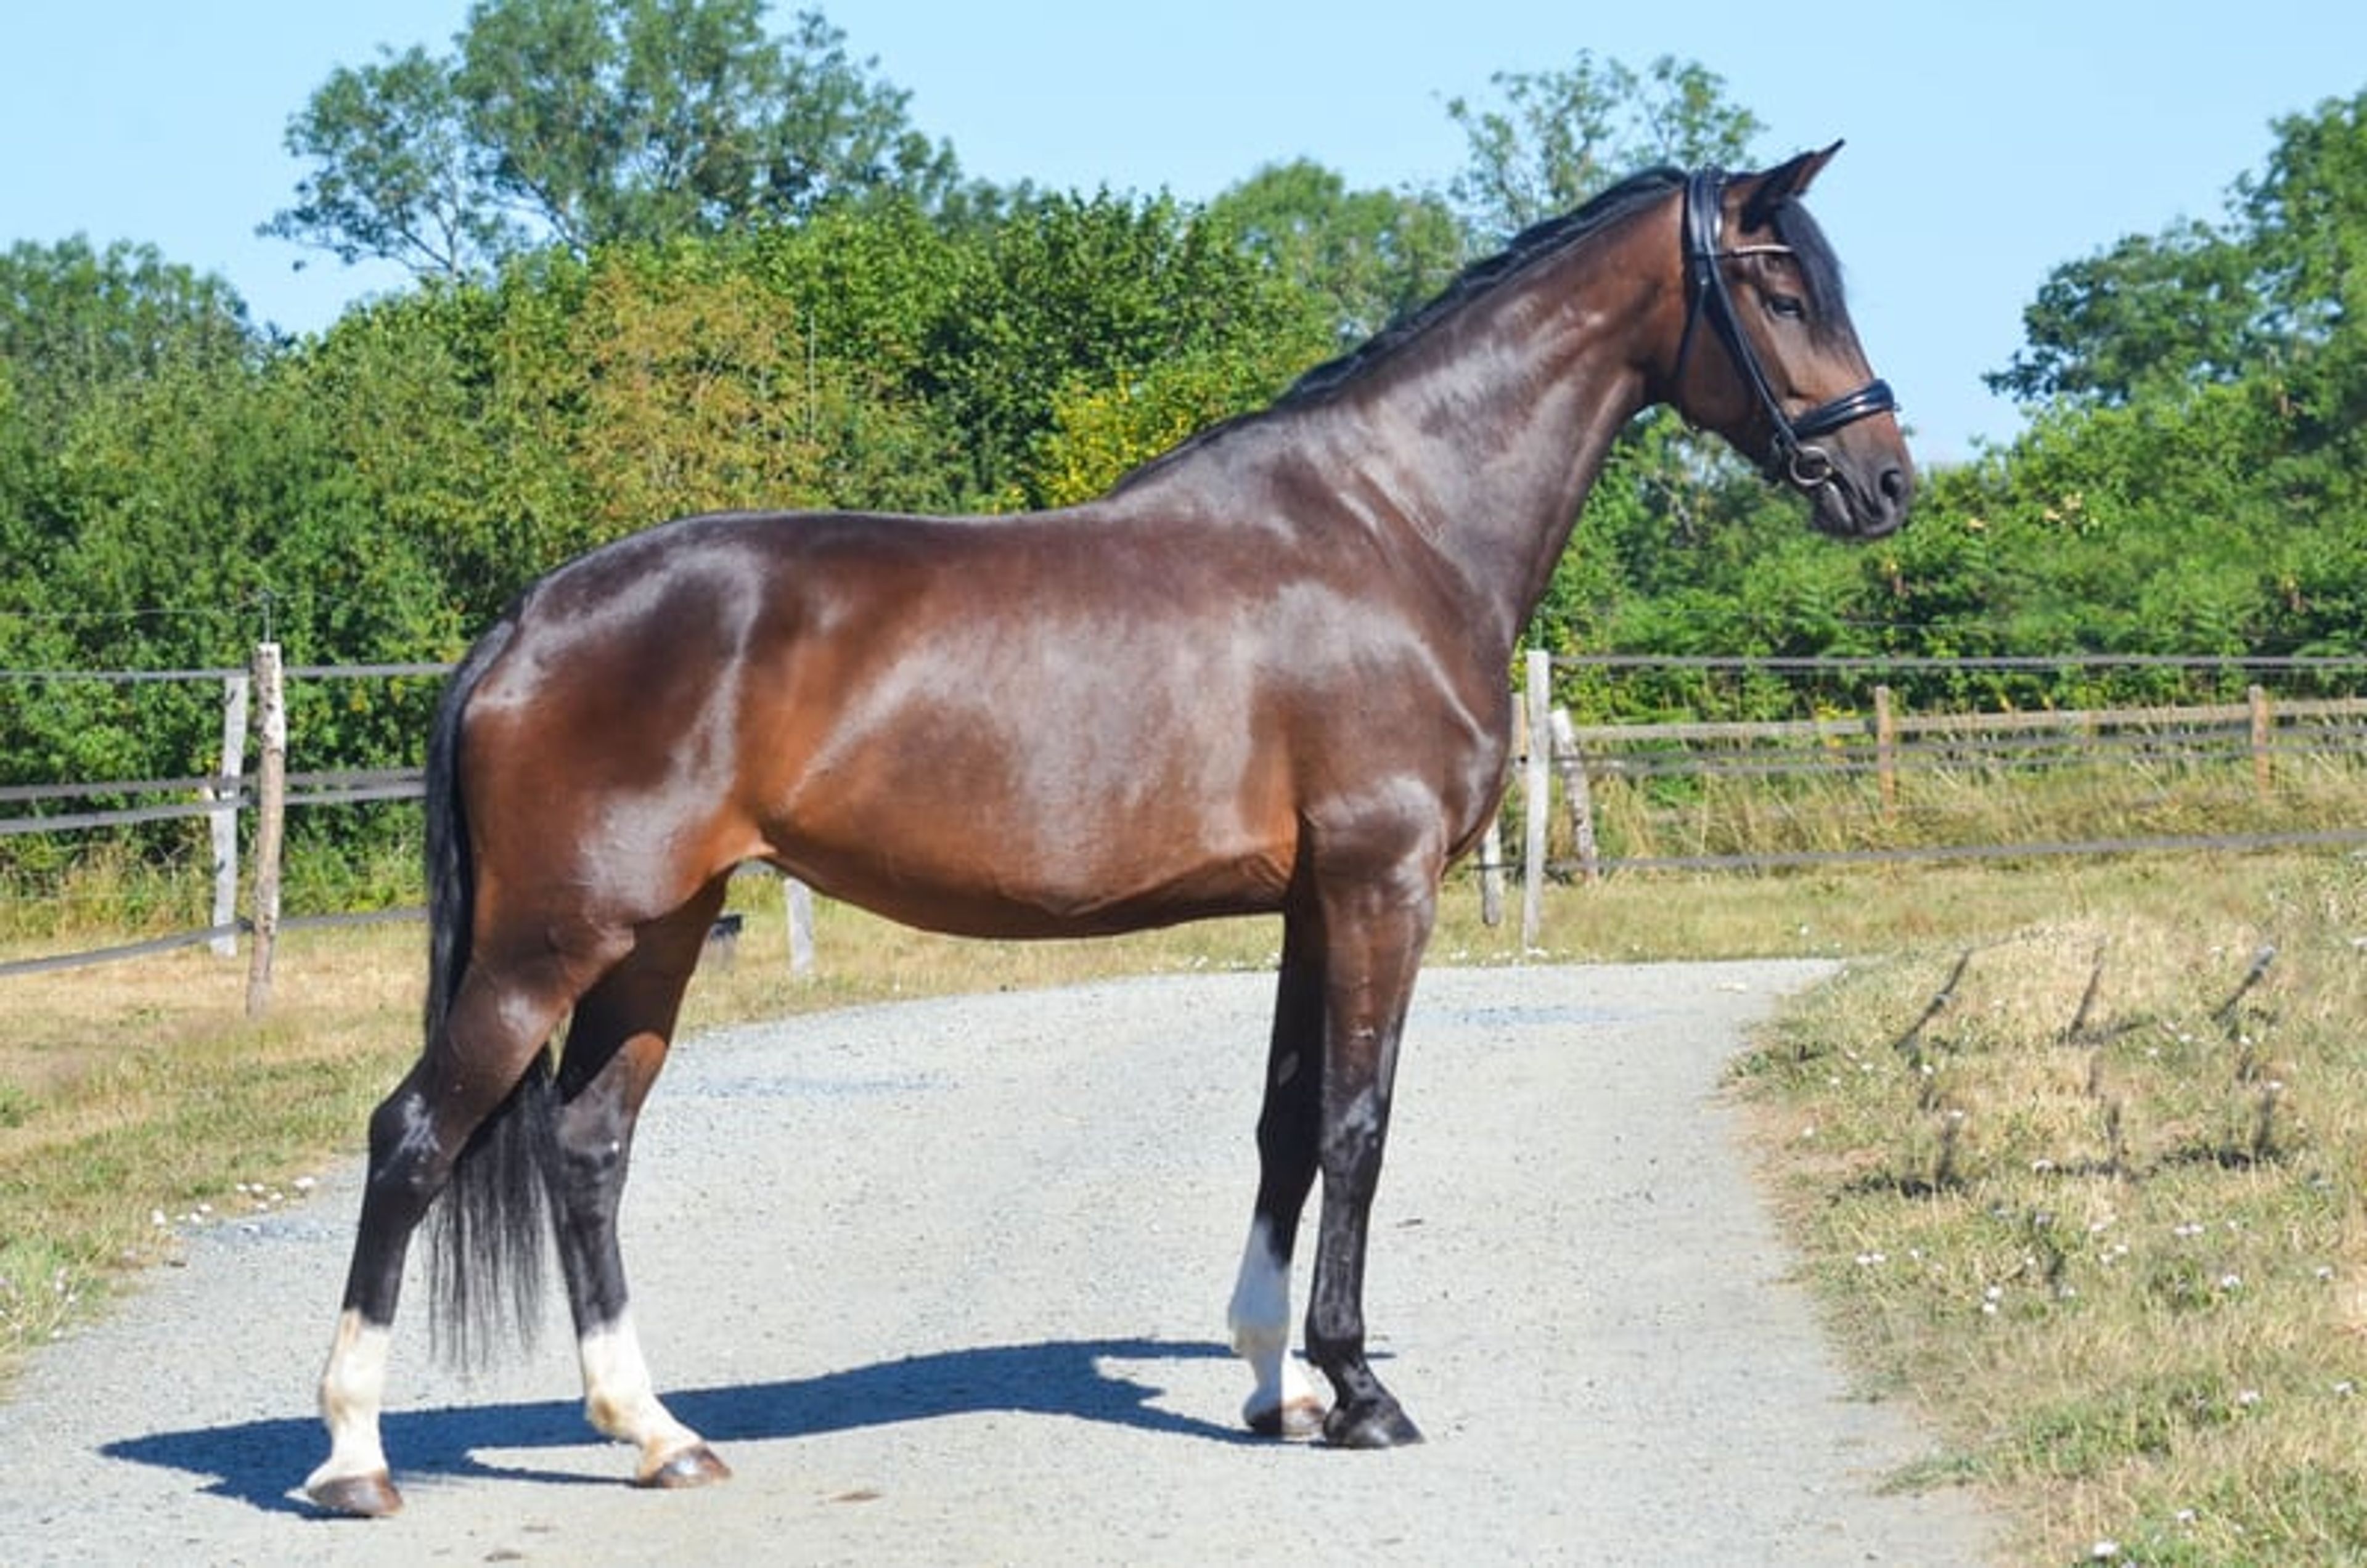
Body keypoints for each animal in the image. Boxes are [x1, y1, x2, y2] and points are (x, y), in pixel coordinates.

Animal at [303, 145, 1909, 1517]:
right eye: (1779, 287)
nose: (1882, 481)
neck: (1391, 529)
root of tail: (527, 619)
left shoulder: (1310, 903)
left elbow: (1283, 1127)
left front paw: (1274, 1385)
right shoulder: (1381, 887)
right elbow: (1359, 1123)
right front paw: (1358, 1390)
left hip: (658, 934)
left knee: (585, 1150)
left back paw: (655, 1433)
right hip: (548, 940)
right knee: (414, 1136)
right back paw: (354, 1457)